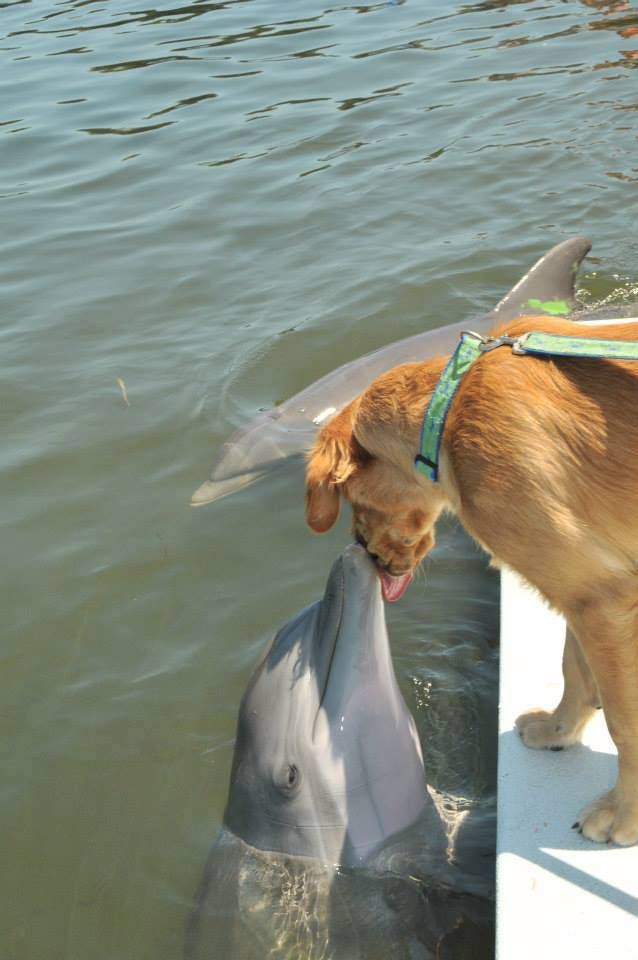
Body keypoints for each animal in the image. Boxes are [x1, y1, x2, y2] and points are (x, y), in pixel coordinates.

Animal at [304, 316, 638, 848]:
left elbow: (626, 723)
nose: (366, 552)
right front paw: (558, 732)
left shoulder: (603, 598)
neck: (450, 409)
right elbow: (574, 669)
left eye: (354, 499)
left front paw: (623, 814)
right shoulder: (586, 587)